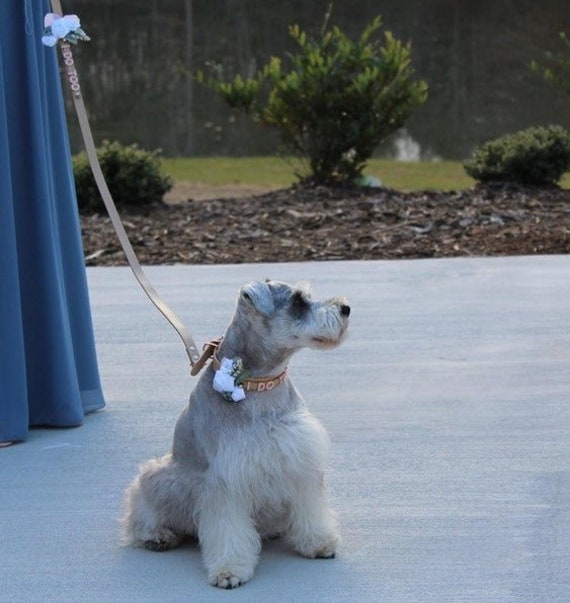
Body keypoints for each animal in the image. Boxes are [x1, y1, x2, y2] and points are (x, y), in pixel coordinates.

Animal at [122, 280, 348, 588]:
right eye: (299, 301)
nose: (346, 308)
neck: (260, 385)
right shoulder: (224, 479)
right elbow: (228, 529)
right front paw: (229, 569)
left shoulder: (300, 459)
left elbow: (311, 508)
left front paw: (318, 542)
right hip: (156, 476)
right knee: (140, 510)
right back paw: (155, 535)